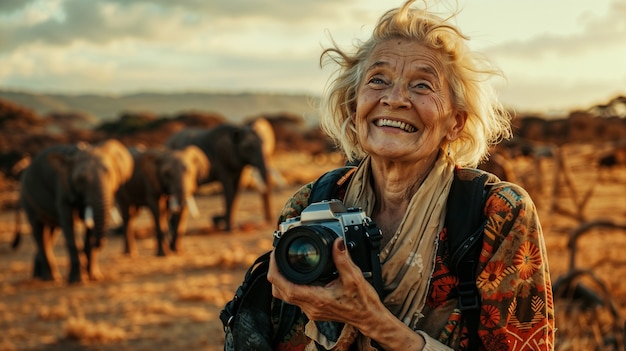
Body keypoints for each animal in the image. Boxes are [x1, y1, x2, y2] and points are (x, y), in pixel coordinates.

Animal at [18, 139, 133, 284]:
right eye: (80, 179)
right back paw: (51, 278)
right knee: (38, 231)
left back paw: (40, 276)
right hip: (26, 197)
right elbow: (69, 223)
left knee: (50, 233)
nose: (97, 243)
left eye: (108, 172)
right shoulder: (63, 188)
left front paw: (95, 277)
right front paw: (78, 280)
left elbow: (89, 226)